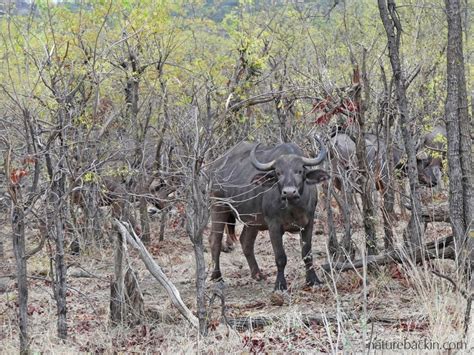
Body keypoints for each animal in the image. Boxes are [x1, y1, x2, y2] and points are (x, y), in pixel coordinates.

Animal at [209, 138, 328, 290]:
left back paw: (257, 274)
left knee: (245, 241)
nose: (289, 192)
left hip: (252, 221)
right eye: (278, 172)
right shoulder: (274, 226)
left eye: (300, 171)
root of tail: (216, 167)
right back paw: (217, 277)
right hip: (219, 207)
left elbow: (307, 254)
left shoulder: (308, 223)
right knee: (215, 240)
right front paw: (280, 284)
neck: (293, 207)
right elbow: (280, 257)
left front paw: (313, 280)